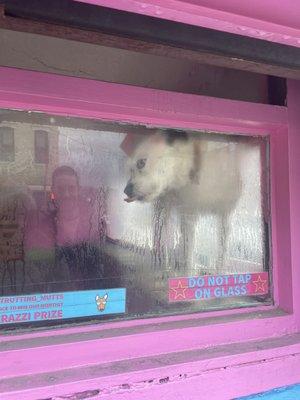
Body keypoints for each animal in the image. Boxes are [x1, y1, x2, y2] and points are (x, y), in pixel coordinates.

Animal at [123, 130, 243, 274]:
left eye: (141, 162)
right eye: (130, 169)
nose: (126, 191)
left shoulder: (224, 213)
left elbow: (221, 249)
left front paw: (217, 272)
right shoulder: (185, 212)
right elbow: (184, 248)